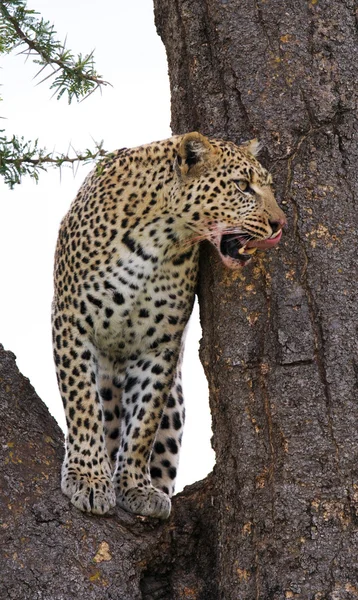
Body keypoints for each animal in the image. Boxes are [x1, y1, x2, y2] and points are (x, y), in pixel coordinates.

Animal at [51, 134, 286, 516]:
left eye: (267, 186)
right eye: (242, 186)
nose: (281, 224)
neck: (158, 239)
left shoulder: (160, 342)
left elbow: (144, 421)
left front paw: (137, 485)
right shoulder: (73, 321)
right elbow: (82, 405)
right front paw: (88, 478)